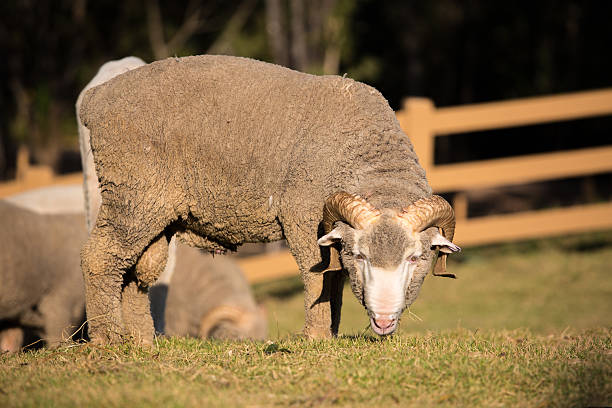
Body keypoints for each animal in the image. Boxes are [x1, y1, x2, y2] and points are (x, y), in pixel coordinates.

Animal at [77, 53, 460, 342]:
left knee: (137, 269)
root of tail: (95, 99)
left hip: (153, 209)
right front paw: (317, 337)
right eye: (360, 255)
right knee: (100, 257)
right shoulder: (303, 219)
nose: (382, 320)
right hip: (132, 194)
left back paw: (142, 340)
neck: (369, 157)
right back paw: (109, 338)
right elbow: (319, 276)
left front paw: (333, 334)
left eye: (416, 258)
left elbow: (335, 277)